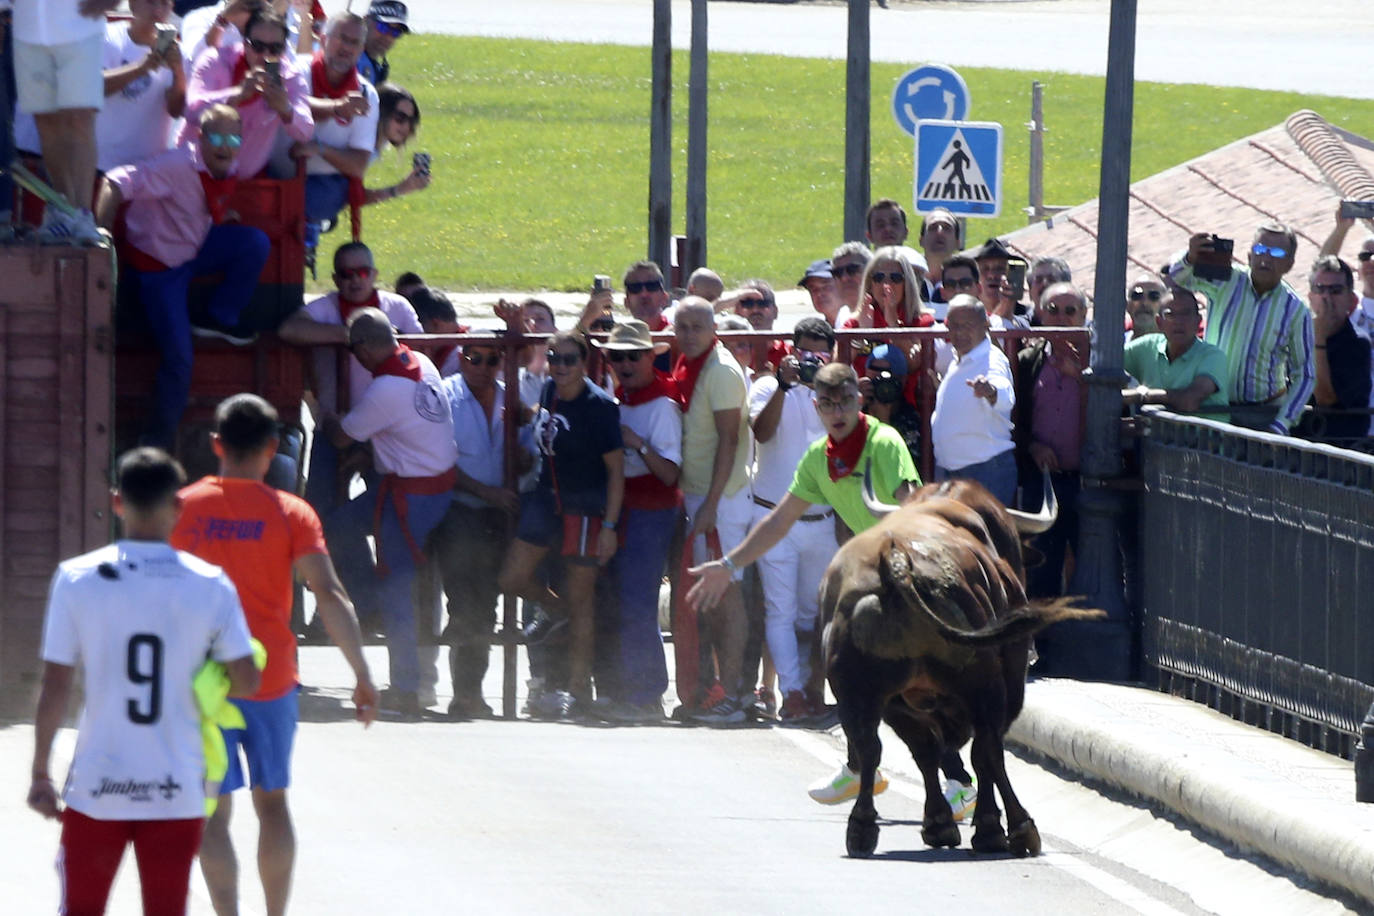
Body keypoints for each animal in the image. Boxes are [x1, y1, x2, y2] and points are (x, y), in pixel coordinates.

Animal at [813, 466, 1104, 862]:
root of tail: (896, 562)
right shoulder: (1006, 685)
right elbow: (983, 754)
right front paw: (990, 826)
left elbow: (929, 754)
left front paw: (938, 823)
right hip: (988, 685)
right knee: (987, 749)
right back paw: (1015, 829)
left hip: (865, 695)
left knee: (876, 746)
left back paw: (862, 828)